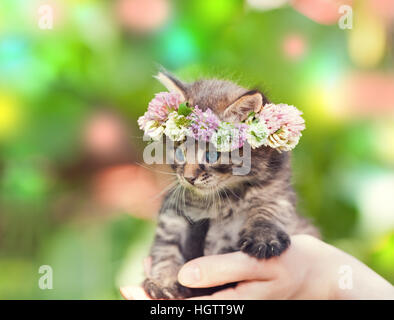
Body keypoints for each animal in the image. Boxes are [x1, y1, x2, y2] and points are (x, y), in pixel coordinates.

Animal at [142, 71, 320, 298]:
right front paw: (163, 282)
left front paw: (264, 237)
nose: (188, 178)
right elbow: (166, 248)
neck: (222, 199)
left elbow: (268, 209)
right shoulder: (173, 213)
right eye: (180, 152)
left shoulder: (278, 194)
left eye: (211, 155)